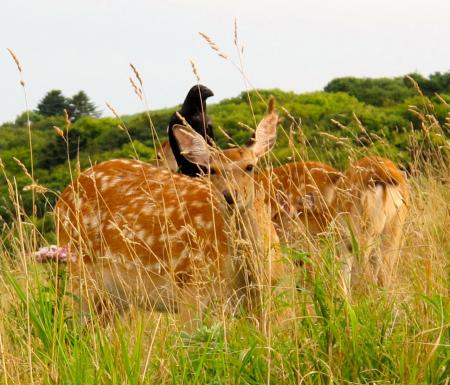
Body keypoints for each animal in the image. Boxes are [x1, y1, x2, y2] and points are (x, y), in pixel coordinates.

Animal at [49, 98, 286, 324]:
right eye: (211, 170)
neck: (249, 275)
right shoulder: (192, 287)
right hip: (79, 273)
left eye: (250, 166)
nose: (229, 196)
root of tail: (61, 198)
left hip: (115, 299)